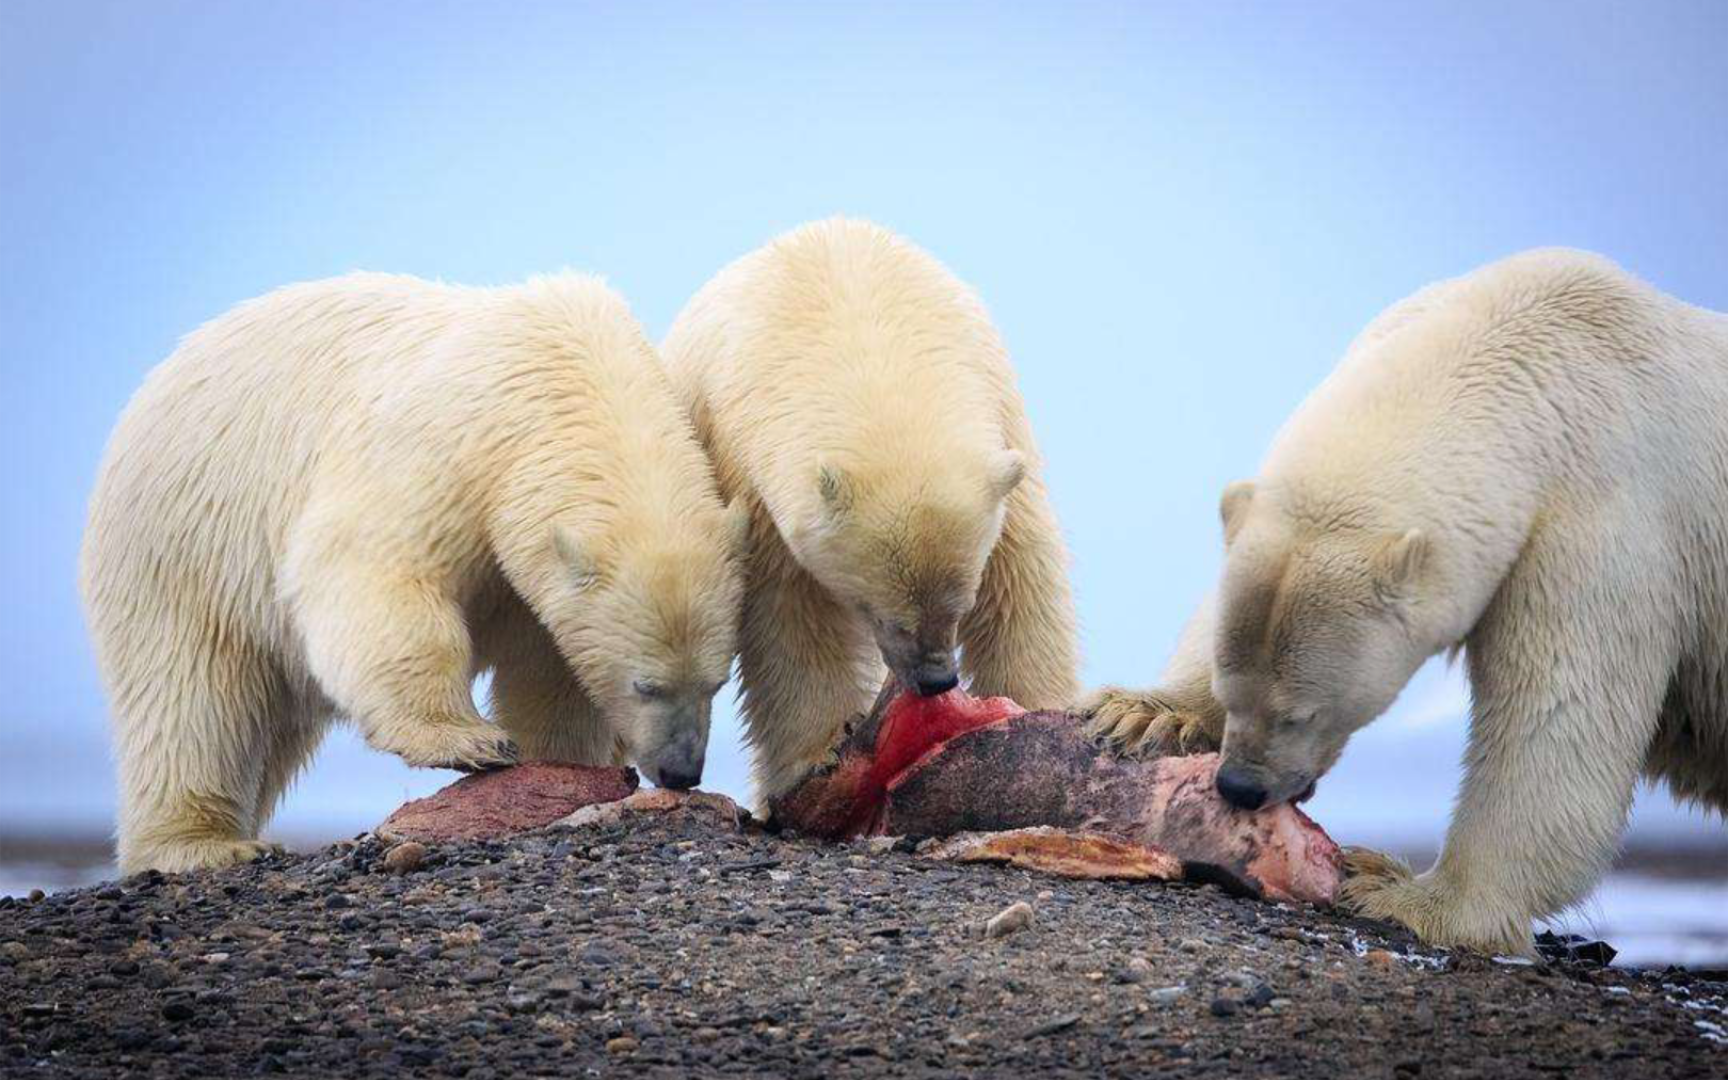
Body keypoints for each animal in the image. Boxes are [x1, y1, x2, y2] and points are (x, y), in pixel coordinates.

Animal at [81, 273, 746, 870]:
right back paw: (207, 845)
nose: (682, 771)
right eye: (646, 686)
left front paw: (561, 762)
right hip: (185, 545)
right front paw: (472, 741)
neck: (561, 376)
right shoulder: (446, 451)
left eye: (716, 683)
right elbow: (374, 571)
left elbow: (551, 668)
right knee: (192, 698)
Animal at [663, 216, 1078, 801]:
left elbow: (1020, 570)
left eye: (960, 604)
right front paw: (816, 754)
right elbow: (789, 612)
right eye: (879, 612)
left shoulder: (998, 410)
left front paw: (1035, 711)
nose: (937, 680)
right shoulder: (749, 465)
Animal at [1085, 250, 1728, 953]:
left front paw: (1404, 893)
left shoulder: (1605, 524)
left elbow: (1558, 714)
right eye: (1232, 693)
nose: (1241, 785)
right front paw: (1143, 714)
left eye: (1302, 715)